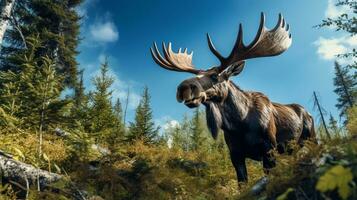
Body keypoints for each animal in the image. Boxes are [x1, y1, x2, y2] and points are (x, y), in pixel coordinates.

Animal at [149, 13, 314, 183]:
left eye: (214, 76)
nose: (183, 88)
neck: (239, 124)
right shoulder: (235, 154)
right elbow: (242, 182)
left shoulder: (269, 149)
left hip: (310, 139)